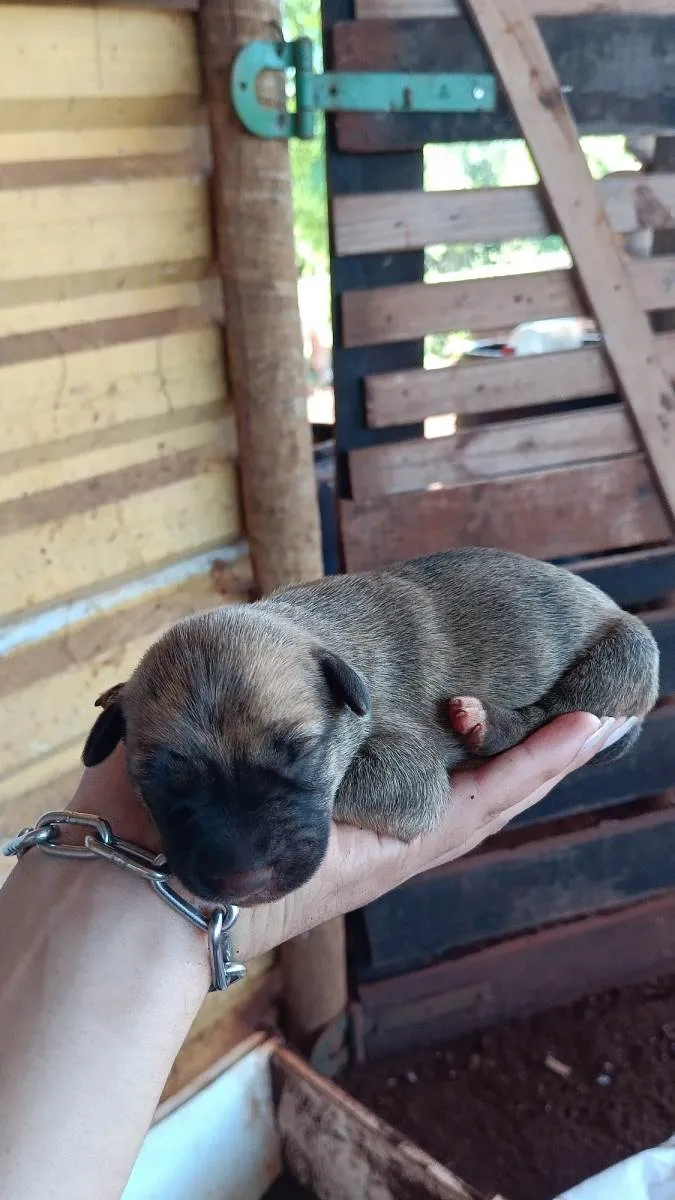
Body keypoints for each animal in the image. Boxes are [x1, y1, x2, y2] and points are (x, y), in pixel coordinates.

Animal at [82, 549, 658, 902]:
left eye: (301, 753)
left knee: (555, 708)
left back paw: (486, 725)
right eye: (159, 781)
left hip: (627, 656)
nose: (244, 880)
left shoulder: (408, 773)